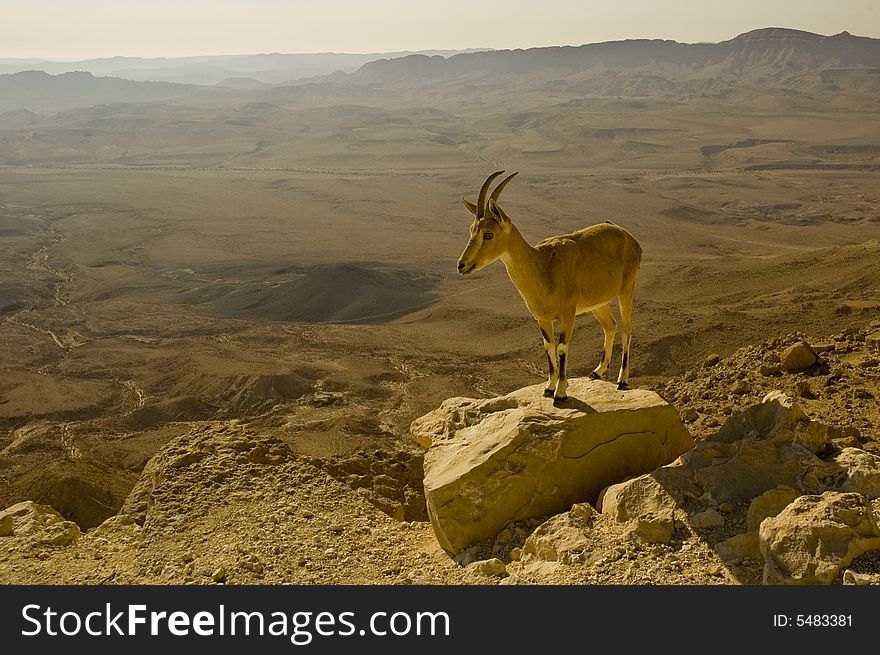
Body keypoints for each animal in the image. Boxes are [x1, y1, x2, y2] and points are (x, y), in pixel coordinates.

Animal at [458, 172, 644, 402]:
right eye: (471, 231)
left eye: (488, 234)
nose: (461, 265)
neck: (543, 268)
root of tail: (630, 238)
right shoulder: (542, 318)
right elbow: (549, 346)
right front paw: (549, 387)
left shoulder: (568, 314)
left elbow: (562, 347)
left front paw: (561, 392)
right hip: (598, 302)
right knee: (611, 326)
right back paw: (597, 371)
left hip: (627, 289)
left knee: (627, 328)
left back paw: (622, 380)